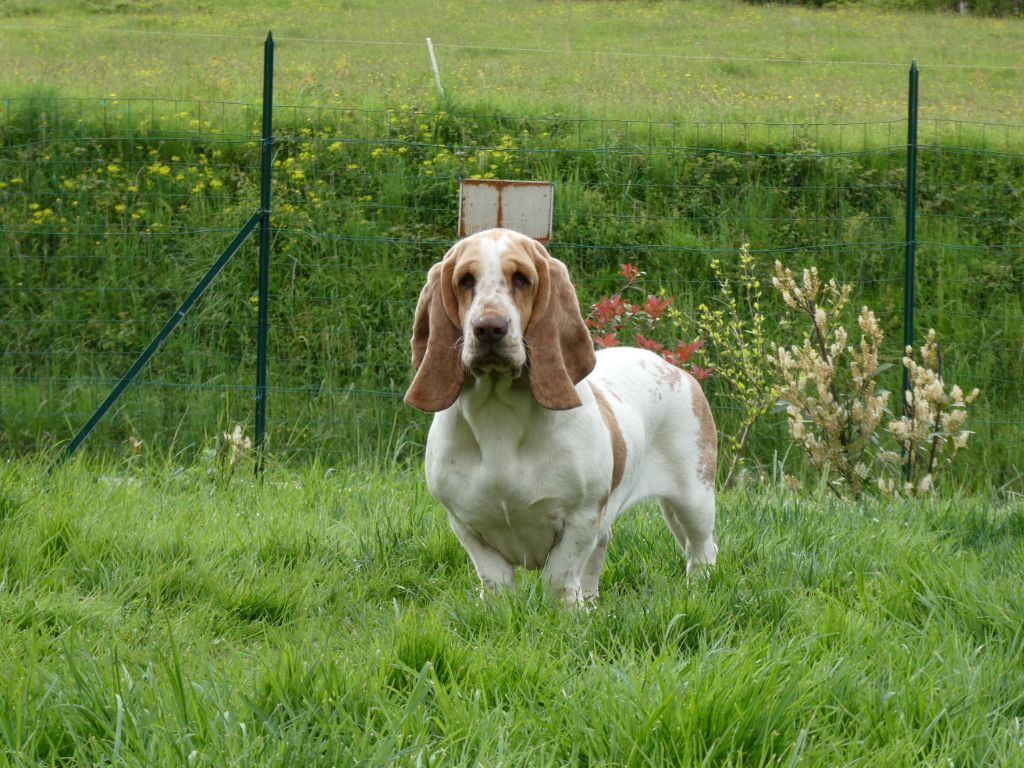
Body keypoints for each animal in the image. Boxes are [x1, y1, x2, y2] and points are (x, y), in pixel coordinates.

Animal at [403, 228, 716, 606]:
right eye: (465, 280)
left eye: (521, 279)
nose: (489, 328)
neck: (498, 416)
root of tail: (674, 369)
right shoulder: (465, 523)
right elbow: (495, 579)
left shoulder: (580, 517)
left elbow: (558, 577)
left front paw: (566, 611)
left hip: (694, 499)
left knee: (701, 550)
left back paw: (698, 591)